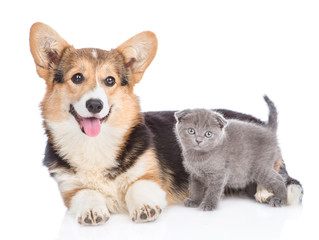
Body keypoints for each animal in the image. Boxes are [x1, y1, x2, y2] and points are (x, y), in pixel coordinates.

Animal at [28, 22, 304, 225]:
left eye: (109, 80)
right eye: (77, 77)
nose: (95, 105)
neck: (95, 144)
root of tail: (265, 124)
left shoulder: (151, 177)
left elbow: (136, 187)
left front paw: (144, 207)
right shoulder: (68, 190)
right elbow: (86, 193)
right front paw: (92, 210)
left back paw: (265, 191)